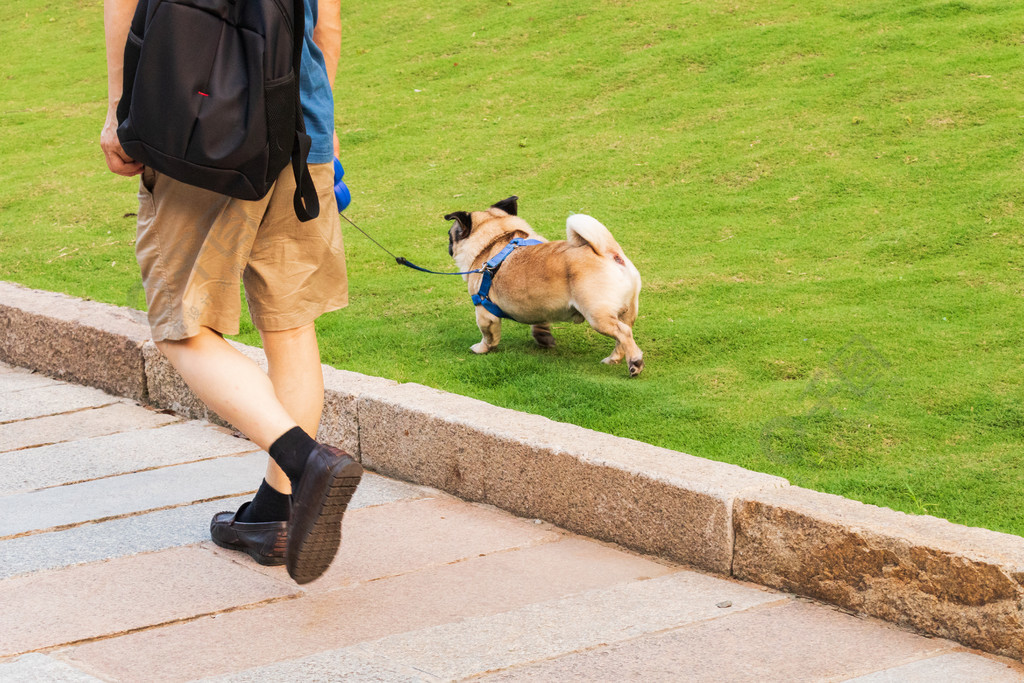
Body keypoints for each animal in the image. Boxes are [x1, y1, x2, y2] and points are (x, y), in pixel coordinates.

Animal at [444, 196, 643, 378]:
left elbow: (488, 335)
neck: (496, 239)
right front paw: (543, 338)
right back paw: (614, 359)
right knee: (624, 334)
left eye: (450, 235)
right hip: (627, 311)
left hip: (597, 316)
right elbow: (540, 323)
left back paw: (635, 363)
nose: (449, 246)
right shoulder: (539, 304)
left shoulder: (484, 312)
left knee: (623, 333)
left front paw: (482, 348)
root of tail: (610, 253)